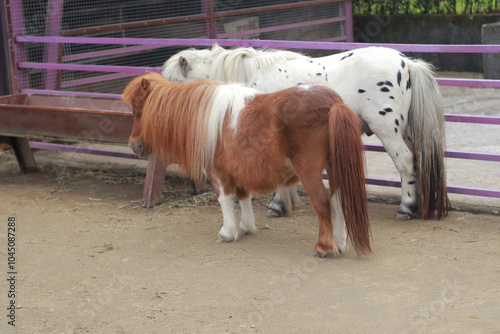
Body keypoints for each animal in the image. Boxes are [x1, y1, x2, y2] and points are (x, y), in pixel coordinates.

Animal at [122, 72, 370, 258]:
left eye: (138, 112)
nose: (134, 145)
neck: (206, 117)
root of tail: (333, 103)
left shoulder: (218, 173)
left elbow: (224, 200)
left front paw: (227, 232)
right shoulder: (239, 170)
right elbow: (243, 197)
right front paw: (246, 227)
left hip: (309, 171)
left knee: (322, 202)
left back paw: (324, 247)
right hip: (335, 168)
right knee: (339, 201)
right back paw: (340, 242)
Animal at [162, 44, 452, 222]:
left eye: (174, 84)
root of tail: (407, 64)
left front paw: (277, 206)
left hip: (388, 131)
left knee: (405, 163)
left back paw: (406, 208)